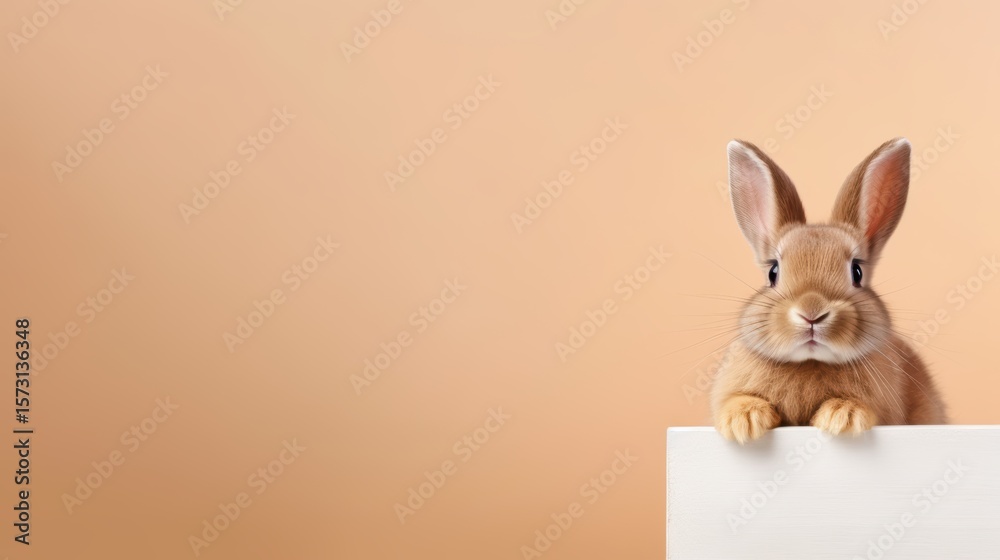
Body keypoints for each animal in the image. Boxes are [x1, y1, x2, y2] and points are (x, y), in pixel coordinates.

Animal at [710, 137, 947, 444]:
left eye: (857, 272)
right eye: (773, 272)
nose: (812, 313)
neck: (810, 362)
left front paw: (842, 416)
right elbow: (734, 399)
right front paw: (744, 421)